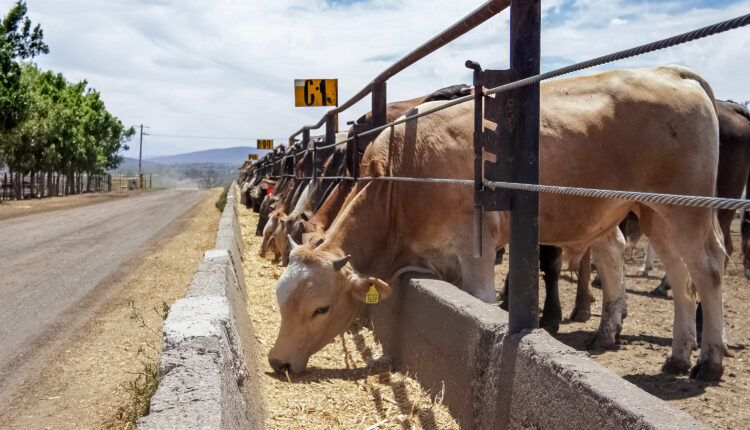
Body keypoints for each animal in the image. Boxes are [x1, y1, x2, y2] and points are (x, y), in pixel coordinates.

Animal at [270, 65, 728, 382]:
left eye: (321, 308)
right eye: (280, 300)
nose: (278, 361)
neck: (404, 175)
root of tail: (670, 71)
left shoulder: (477, 255)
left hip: (686, 207)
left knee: (707, 268)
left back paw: (708, 360)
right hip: (653, 212)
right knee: (674, 272)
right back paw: (670, 352)